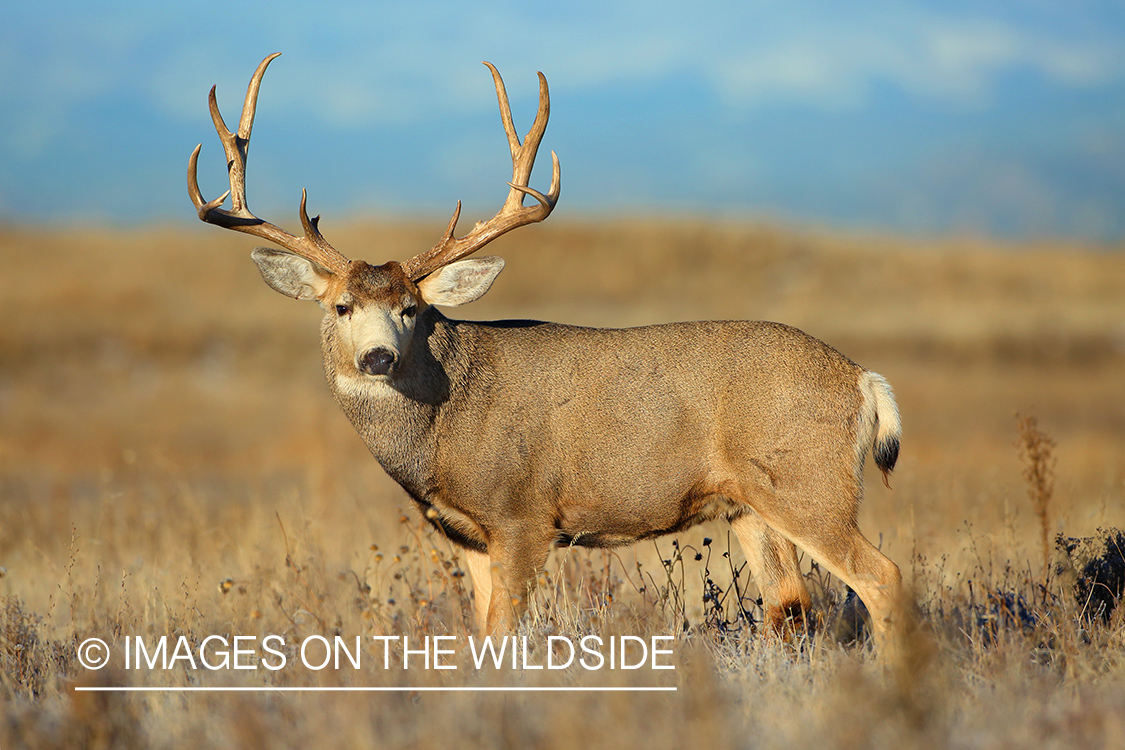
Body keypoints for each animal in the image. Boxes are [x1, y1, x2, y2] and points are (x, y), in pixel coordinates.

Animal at [188, 53, 905, 658]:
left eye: (411, 308)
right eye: (341, 307)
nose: (378, 359)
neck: (444, 427)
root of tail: (862, 379)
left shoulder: (523, 516)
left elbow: (506, 636)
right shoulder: (468, 534)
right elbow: (480, 635)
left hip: (808, 482)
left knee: (881, 577)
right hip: (749, 505)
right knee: (792, 607)